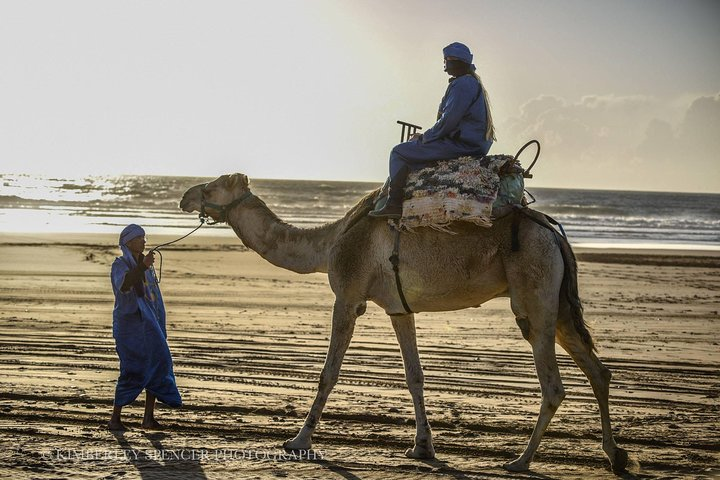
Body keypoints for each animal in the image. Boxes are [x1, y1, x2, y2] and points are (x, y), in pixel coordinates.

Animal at [177, 173, 628, 472]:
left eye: (213, 186)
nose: (184, 196)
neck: (329, 243)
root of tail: (556, 235)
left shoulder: (348, 296)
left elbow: (329, 372)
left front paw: (298, 440)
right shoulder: (399, 307)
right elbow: (414, 376)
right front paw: (423, 447)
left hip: (534, 294)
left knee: (554, 383)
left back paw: (520, 460)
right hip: (559, 304)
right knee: (598, 371)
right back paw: (615, 455)